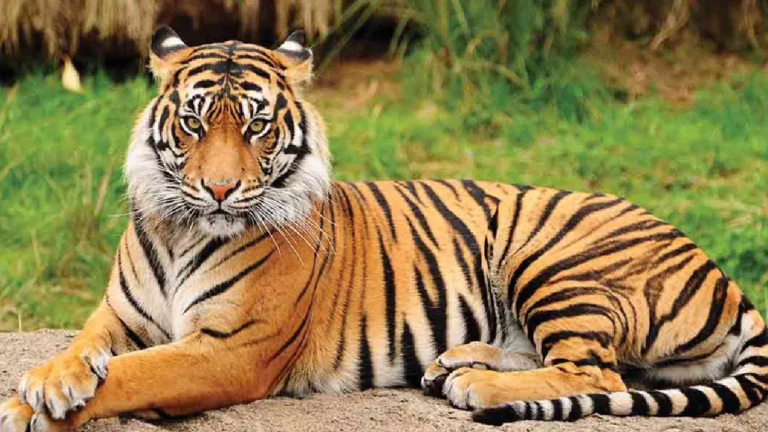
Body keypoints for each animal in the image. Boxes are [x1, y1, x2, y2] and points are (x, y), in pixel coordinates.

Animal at [1, 26, 766, 432]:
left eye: (256, 126)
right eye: (193, 122)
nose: (219, 189)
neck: (181, 227)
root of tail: (725, 277)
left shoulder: (229, 349)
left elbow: (135, 373)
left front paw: (30, 406)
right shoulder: (119, 316)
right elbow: (85, 348)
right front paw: (48, 380)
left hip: (552, 257)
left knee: (595, 368)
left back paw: (476, 387)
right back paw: (458, 362)